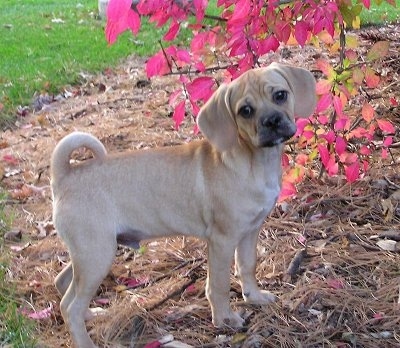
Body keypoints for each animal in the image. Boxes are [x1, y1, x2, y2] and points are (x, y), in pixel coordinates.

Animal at [51, 63, 316, 348]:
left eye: (280, 95)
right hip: (97, 254)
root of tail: (64, 176)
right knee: (70, 307)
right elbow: (218, 285)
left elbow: (247, 267)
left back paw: (91, 313)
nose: (272, 121)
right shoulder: (222, 240)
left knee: (64, 286)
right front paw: (224, 319)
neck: (254, 162)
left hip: (89, 254)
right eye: (245, 111)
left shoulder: (249, 233)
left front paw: (254, 297)